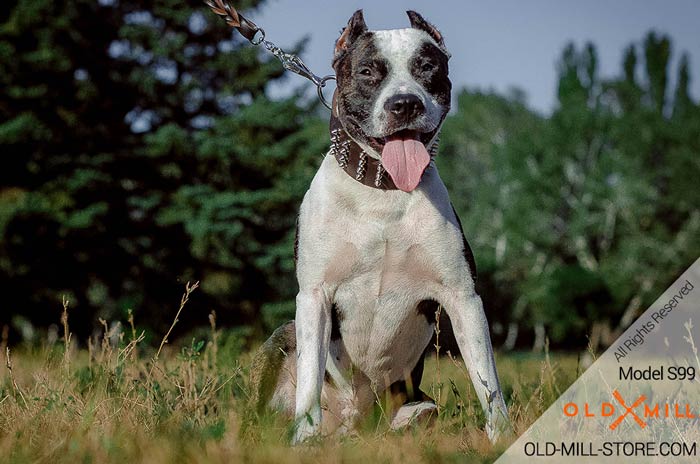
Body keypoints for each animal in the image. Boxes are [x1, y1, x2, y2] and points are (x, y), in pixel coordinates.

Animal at [252, 9, 508, 444]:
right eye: (368, 71)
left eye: (427, 67)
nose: (404, 103)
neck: (383, 191)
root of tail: (354, 422)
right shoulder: (315, 296)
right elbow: (309, 376)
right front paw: (303, 438)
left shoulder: (463, 297)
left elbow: (486, 379)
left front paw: (502, 437)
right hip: (283, 337)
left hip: (420, 407)